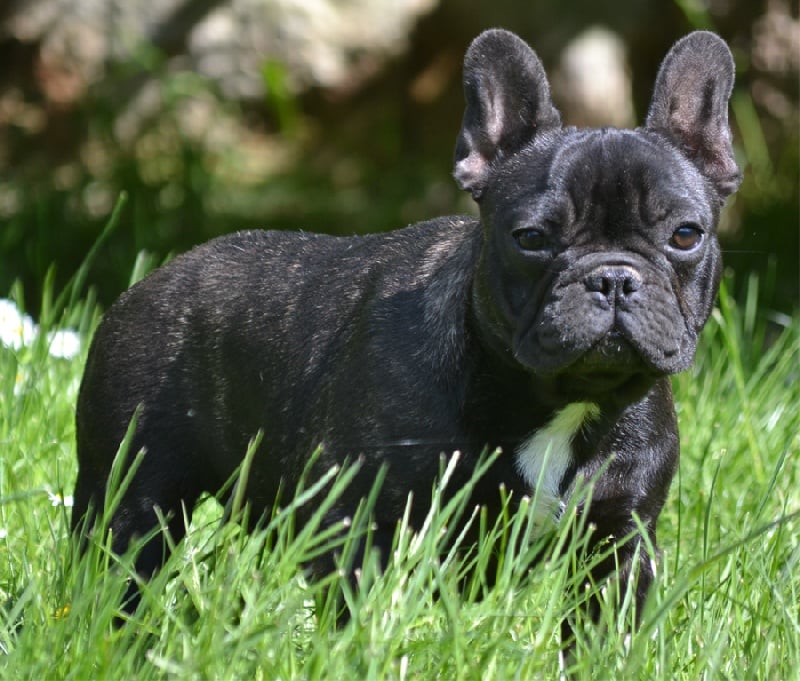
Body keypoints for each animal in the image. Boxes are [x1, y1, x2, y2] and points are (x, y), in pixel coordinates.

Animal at [72, 29, 740, 628]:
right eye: (530, 238)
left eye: (686, 235)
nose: (612, 277)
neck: (559, 402)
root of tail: (152, 280)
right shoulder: (364, 531)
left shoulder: (619, 543)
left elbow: (602, 632)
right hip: (128, 492)